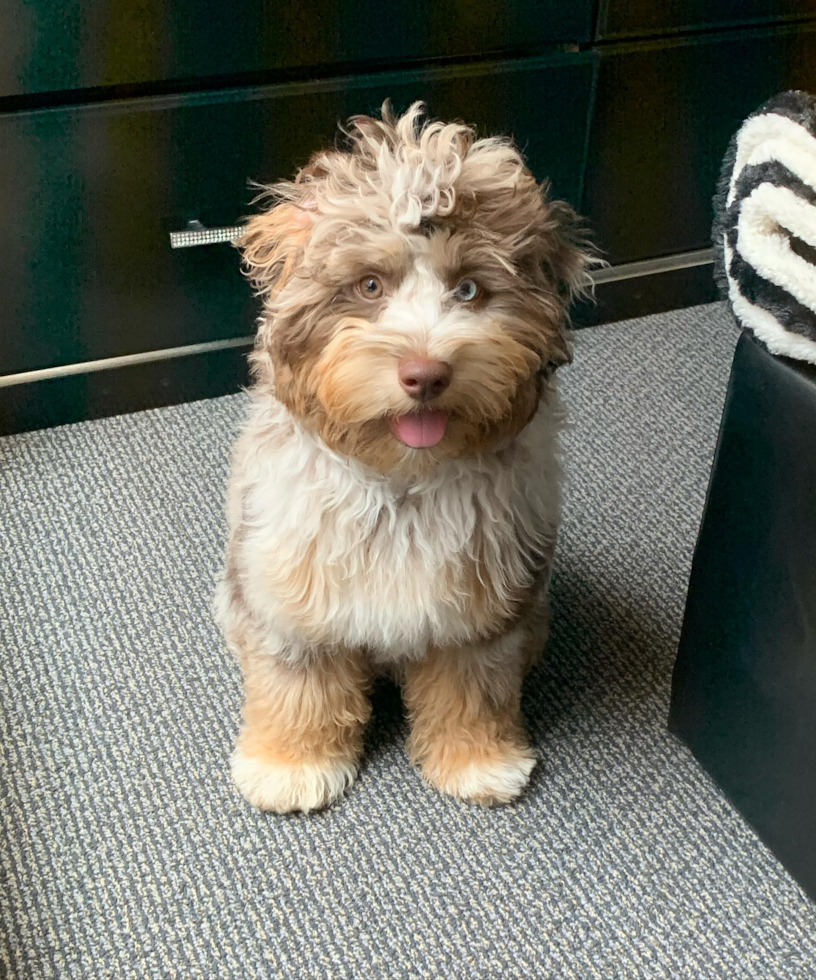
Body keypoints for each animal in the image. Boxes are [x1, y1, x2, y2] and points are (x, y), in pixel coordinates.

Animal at [214, 103, 588, 816]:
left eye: (468, 289)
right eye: (368, 285)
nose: (425, 373)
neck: (402, 483)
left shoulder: (483, 609)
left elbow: (473, 688)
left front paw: (478, 761)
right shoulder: (289, 591)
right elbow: (298, 684)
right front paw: (290, 765)